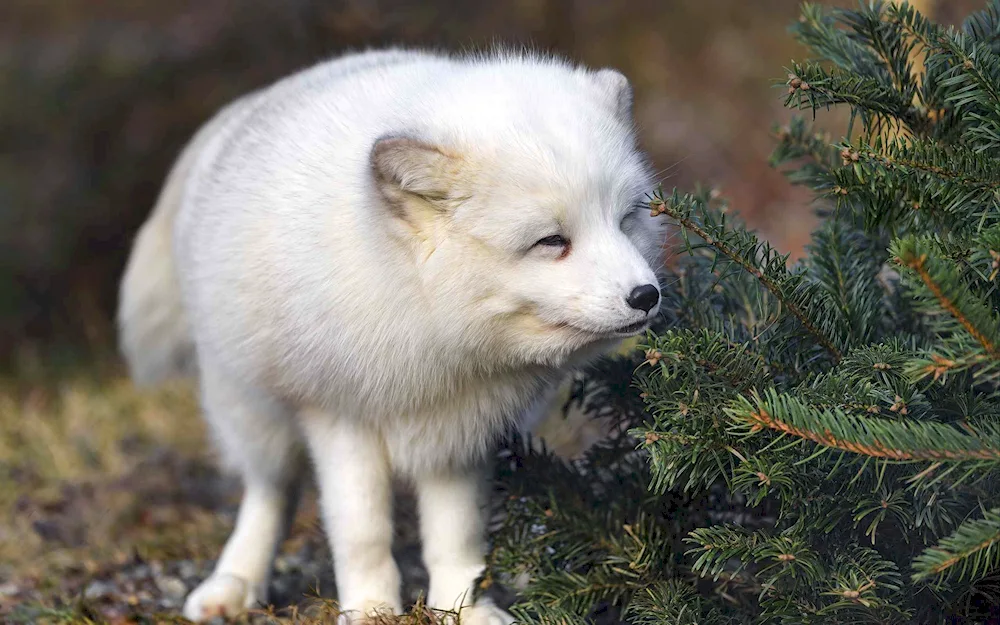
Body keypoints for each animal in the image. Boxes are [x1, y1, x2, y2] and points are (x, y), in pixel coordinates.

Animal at [117, 46, 664, 620]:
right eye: (552, 241)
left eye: (626, 219)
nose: (646, 296)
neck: (429, 333)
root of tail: (249, 107)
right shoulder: (338, 417)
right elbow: (361, 532)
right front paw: (371, 608)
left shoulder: (461, 435)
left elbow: (457, 536)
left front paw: (462, 607)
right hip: (250, 411)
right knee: (270, 493)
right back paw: (235, 581)